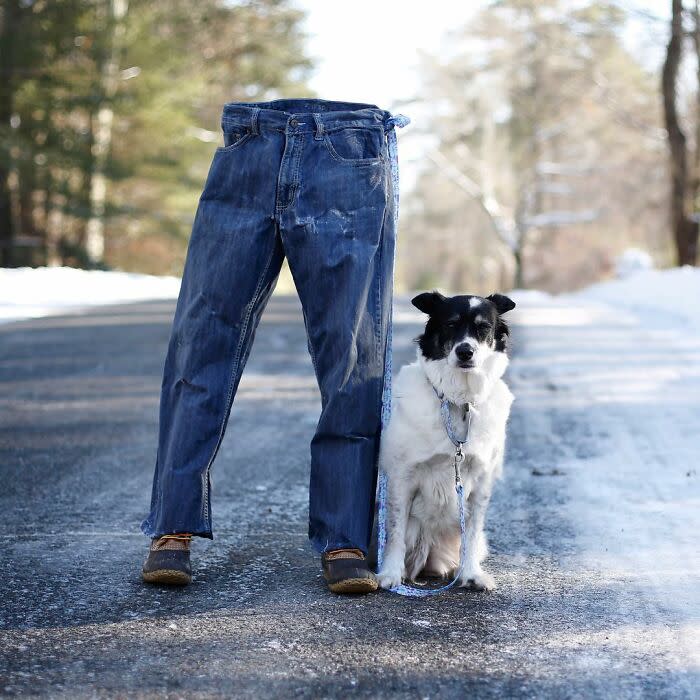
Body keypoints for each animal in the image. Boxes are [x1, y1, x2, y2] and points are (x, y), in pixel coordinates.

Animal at [378, 290, 516, 592]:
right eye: (451, 324)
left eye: (483, 327)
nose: (465, 352)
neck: (459, 401)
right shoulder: (402, 476)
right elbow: (394, 531)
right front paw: (390, 574)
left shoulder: (481, 482)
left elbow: (471, 534)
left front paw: (471, 574)